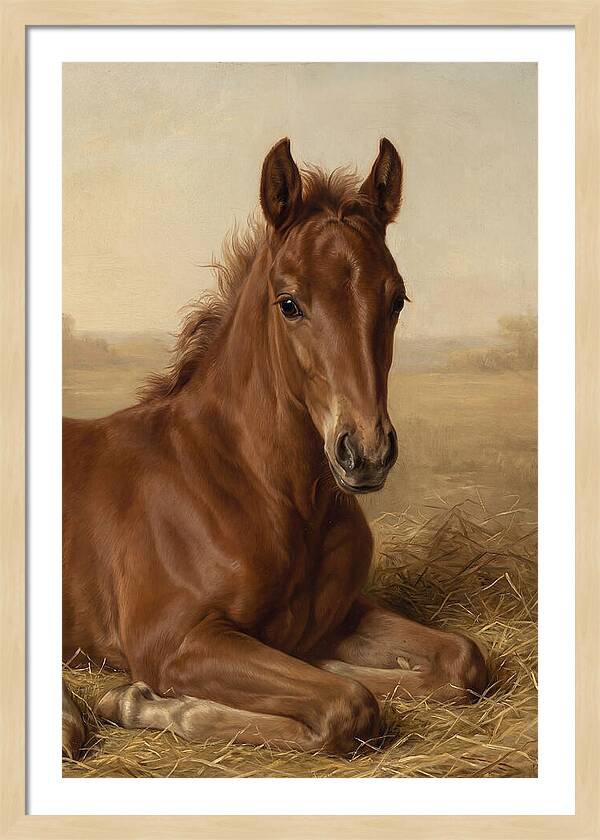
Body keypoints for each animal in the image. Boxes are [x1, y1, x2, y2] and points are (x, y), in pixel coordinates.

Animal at [62, 138, 488, 759]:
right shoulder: (173, 641)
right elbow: (347, 704)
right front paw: (142, 701)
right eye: (288, 303)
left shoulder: (338, 617)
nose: (366, 452)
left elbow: (460, 660)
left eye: (397, 300)